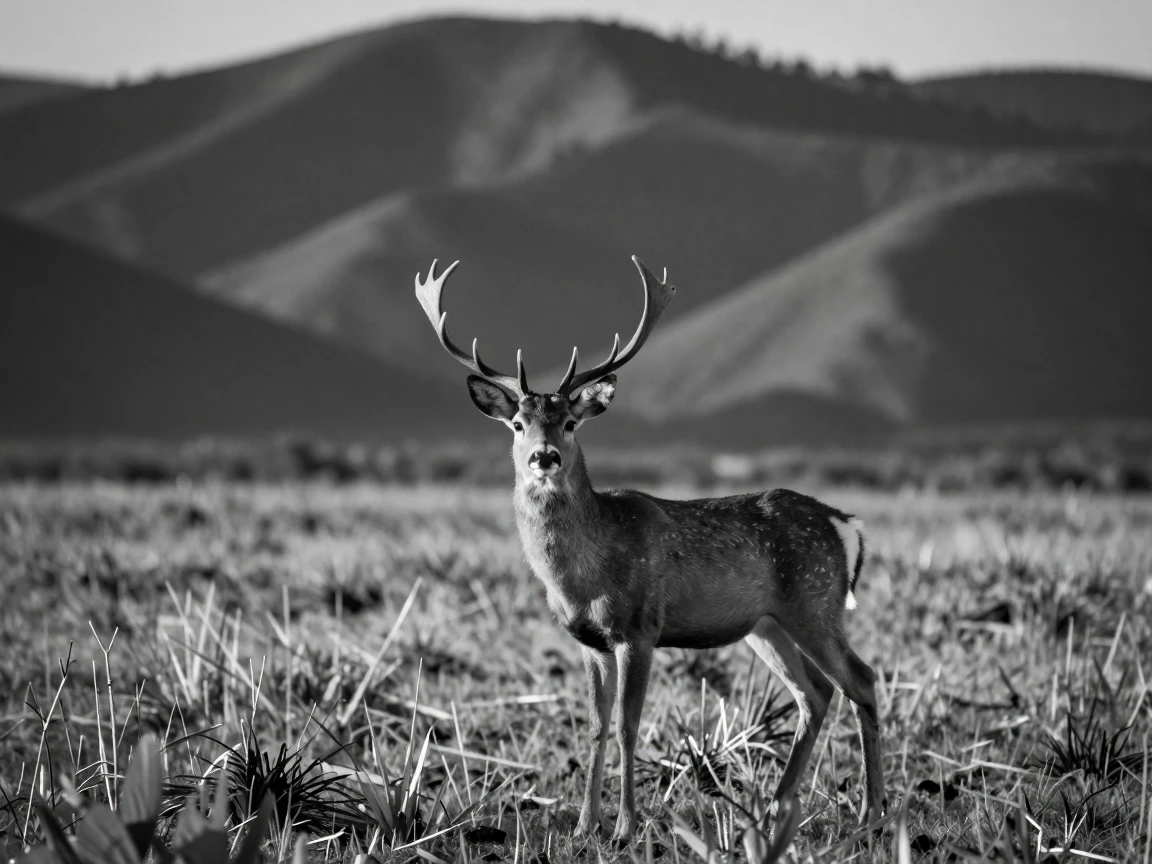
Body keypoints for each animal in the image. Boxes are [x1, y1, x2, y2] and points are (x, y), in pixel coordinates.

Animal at [415, 257, 886, 842]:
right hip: (767, 624)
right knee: (816, 694)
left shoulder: (639, 628)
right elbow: (595, 726)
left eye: (569, 422)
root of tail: (843, 522)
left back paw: (871, 814)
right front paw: (584, 826)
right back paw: (778, 809)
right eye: (518, 423)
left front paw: (625, 826)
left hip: (816, 603)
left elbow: (627, 725)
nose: (544, 457)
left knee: (861, 680)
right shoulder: (589, 640)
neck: (584, 577)